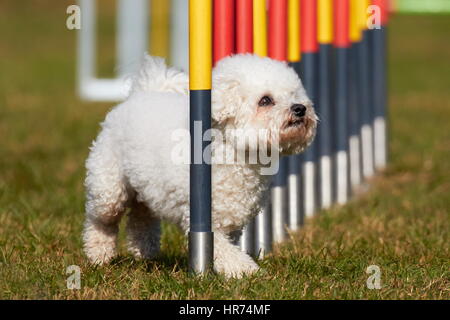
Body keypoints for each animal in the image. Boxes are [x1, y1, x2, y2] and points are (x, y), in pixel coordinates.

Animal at [83, 53, 316, 278]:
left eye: (294, 94)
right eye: (265, 100)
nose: (300, 108)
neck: (232, 151)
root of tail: (142, 93)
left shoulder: (230, 220)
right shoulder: (204, 220)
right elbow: (224, 250)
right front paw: (246, 271)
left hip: (146, 187)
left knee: (141, 217)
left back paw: (144, 250)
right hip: (109, 187)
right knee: (101, 220)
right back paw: (99, 254)